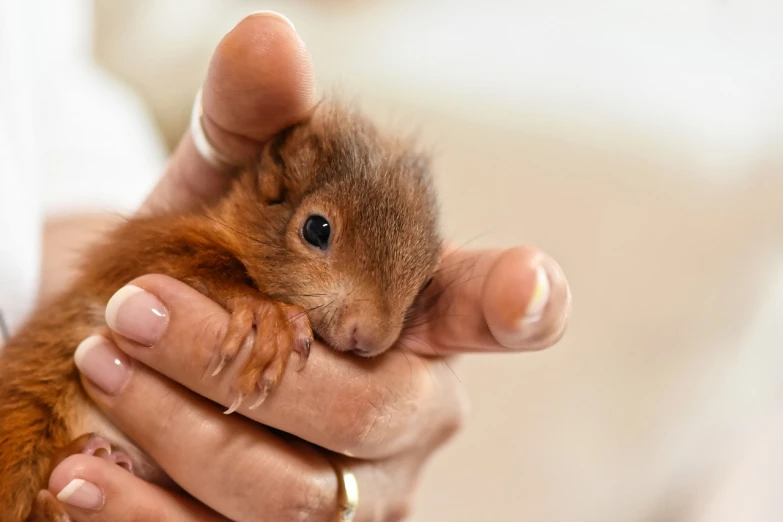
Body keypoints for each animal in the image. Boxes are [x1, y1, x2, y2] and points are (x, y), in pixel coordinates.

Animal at [0, 99, 440, 516]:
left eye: (428, 281)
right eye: (317, 229)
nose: (370, 337)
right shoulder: (136, 251)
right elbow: (180, 262)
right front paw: (268, 314)